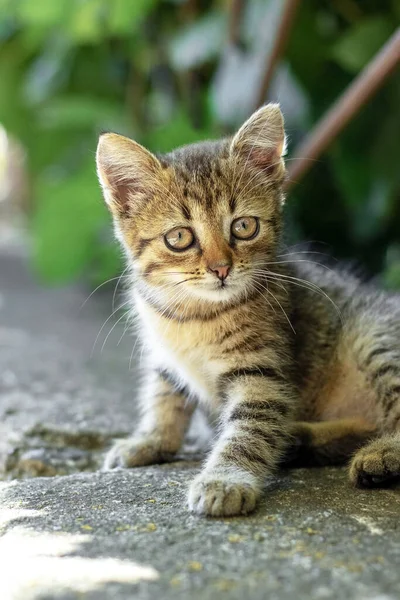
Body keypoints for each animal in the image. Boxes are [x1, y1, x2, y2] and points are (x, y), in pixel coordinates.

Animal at [97, 104, 400, 516]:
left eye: (243, 226)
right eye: (179, 237)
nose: (221, 268)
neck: (193, 314)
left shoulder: (260, 373)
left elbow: (248, 427)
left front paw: (225, 480)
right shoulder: (163, 356)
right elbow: (164, 397)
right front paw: (150, 440)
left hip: (374, 337)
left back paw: (380, 454)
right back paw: (302, 440)